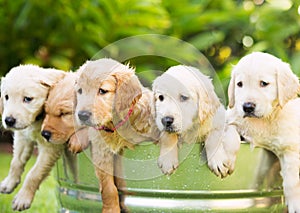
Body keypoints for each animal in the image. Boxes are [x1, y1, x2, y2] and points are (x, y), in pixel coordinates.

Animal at [0, 64, 65, 211]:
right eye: (6, 97)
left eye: (28, 99)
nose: (9, 120)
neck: (38, 119)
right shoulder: (23, 137)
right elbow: (16, 162)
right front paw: (9, 183)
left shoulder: (50, 147)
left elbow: (34, 173)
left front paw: (23, 198)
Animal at [74, 57, 161, 211]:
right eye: (80, 91)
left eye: (102, 91)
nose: (82, 115)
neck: (115, 125)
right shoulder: (102, 151)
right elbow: (108, 188)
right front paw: (111, 210)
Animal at [227, 52, 300, 213]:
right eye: (239, 84)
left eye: (264, 83)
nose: (247, 107)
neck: (265, 119)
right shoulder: (234, 118)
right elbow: (228, 127)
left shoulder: (291, 147)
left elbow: (292, 178)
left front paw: (295, 203)